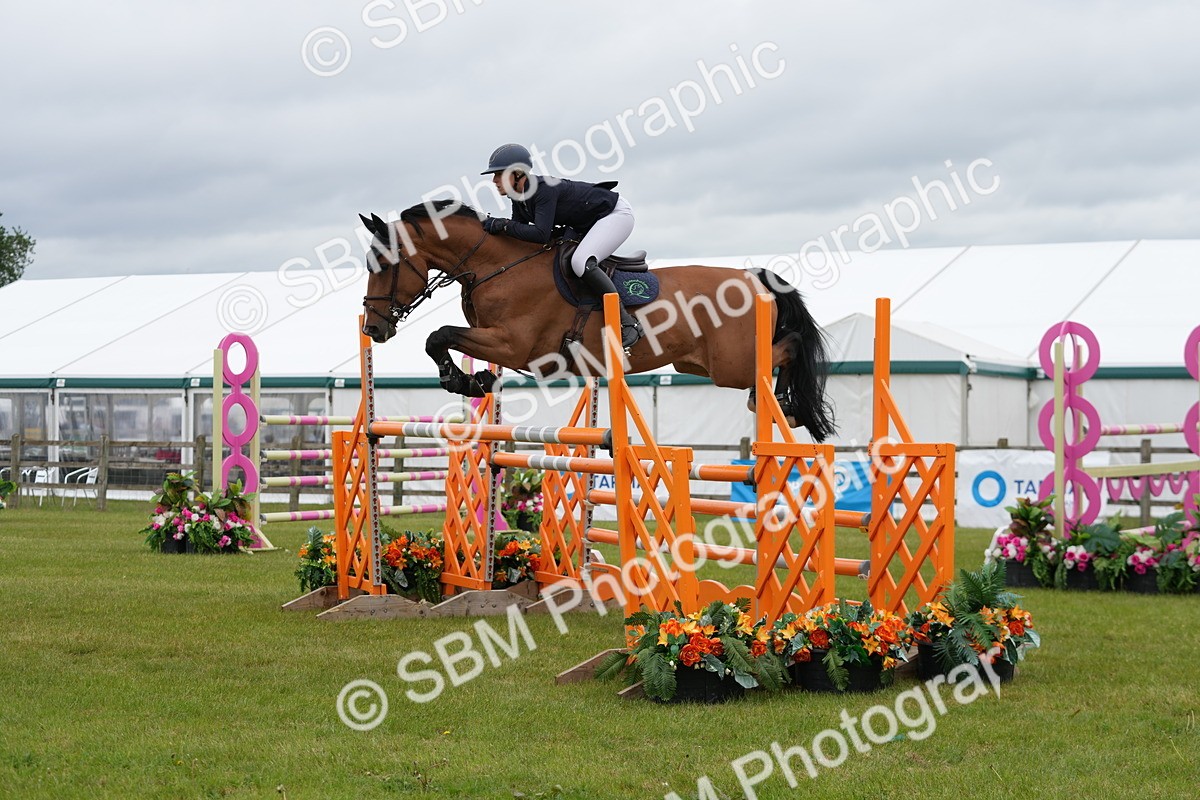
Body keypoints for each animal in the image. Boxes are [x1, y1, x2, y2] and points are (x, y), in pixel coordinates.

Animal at [358, 201, 836, 441]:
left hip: (729, 365)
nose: (373, 329)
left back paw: (786, 405)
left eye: (384, 263)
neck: (498, 265)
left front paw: (465, 380)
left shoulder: (513, 345)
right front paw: (471, 380)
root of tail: (752, 275)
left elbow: (439, 335)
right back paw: (777, 403)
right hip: (698, 363)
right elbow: (438, 339)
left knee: (790, 347)